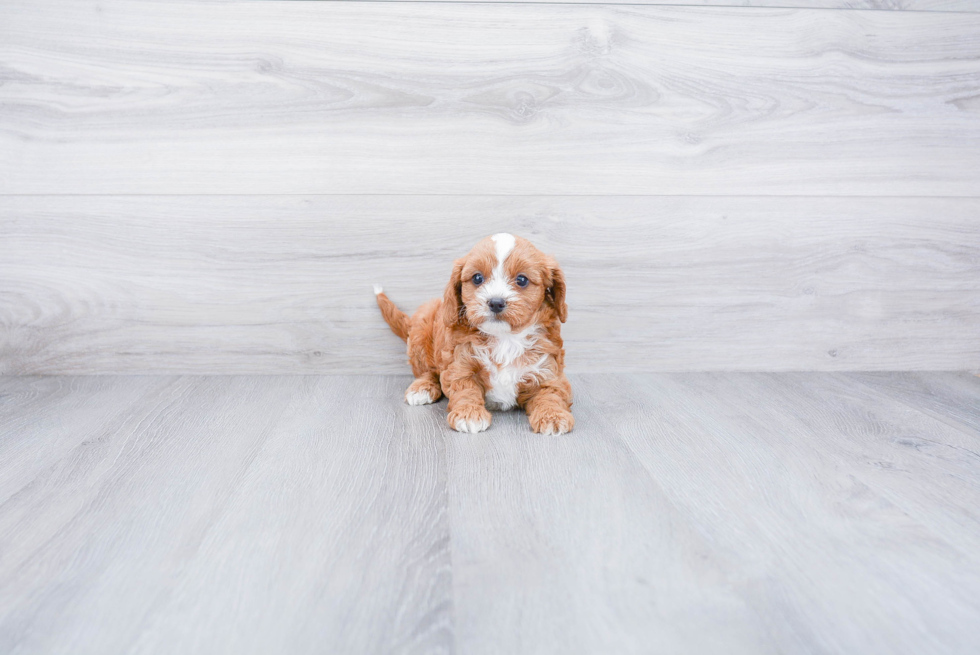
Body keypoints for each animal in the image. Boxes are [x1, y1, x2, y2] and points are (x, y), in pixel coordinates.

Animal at [376, 234, 576, 436]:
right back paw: (422, 388)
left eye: (521, 280)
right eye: (477, 278)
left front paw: (552, 416)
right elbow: (465, 388)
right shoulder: (460, 363)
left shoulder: (549, 369)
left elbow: (551, 393)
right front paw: (468, 414)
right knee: (428, 371)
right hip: (422, 327)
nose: (496, 302)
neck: (506, 338)